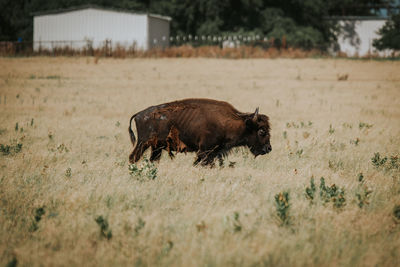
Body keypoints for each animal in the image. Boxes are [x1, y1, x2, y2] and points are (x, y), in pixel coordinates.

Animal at [128, 98, 272, 165]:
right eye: (261, 131)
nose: (268, 148)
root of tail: (139, 114)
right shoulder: (205, 151)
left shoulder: (213, 152)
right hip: (143, 144)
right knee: (133, 158)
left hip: (156, 147)